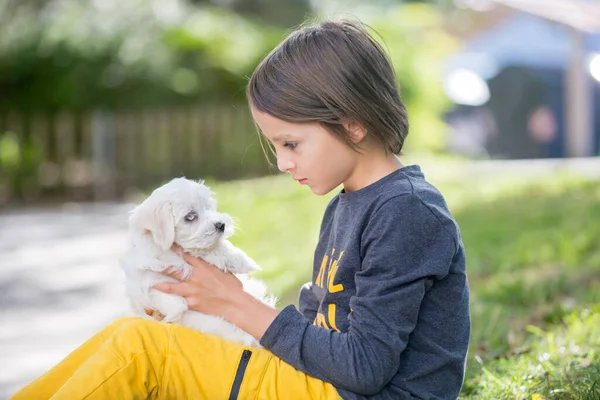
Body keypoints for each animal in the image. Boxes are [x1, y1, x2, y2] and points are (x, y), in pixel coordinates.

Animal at [120, 177, 276, 346]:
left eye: (208, 208)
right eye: (190, 216)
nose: (221, 225)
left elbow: (214, 248)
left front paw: (241, 261)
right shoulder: (145, 279)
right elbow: (171, 299)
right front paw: (173, 313)